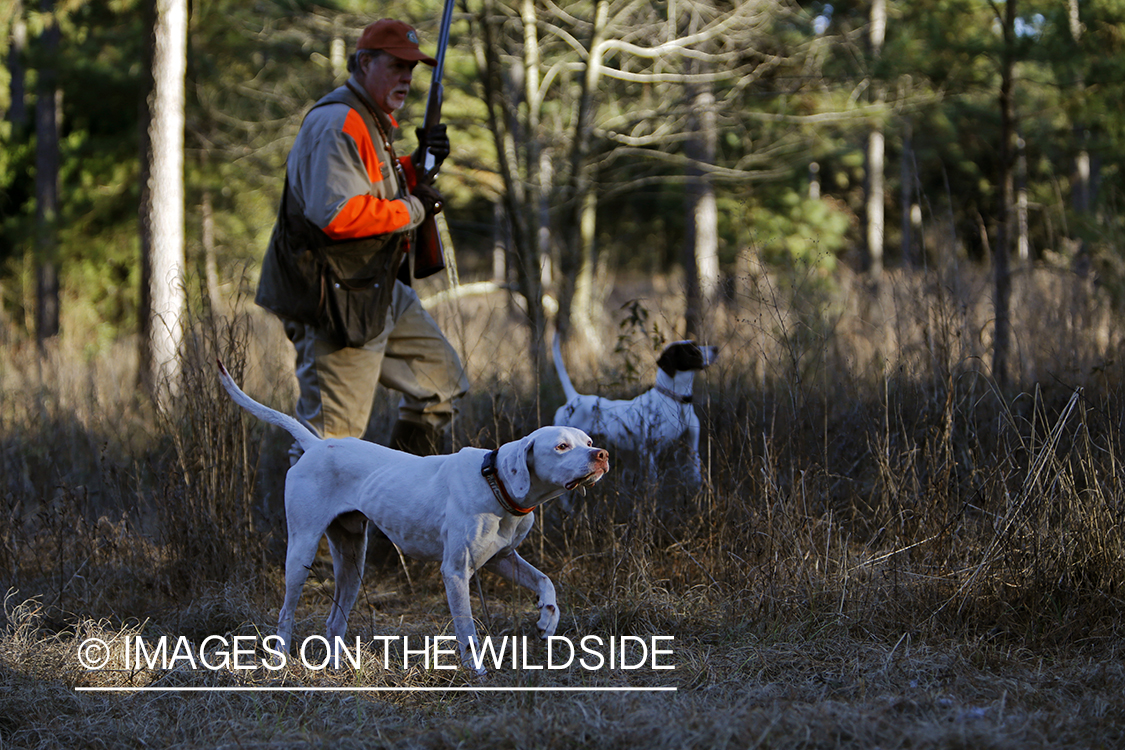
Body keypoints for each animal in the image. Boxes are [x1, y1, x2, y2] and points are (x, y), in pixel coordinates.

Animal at [216, 359, 612, 670]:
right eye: (561, 446)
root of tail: (315, 445)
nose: (602, 455)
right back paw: (279, 661)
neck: (495, 482)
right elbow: (467, 630)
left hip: (352, 562)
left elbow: (546, 581)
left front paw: (548, 618)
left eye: (588, 442)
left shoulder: (502, 558)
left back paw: (338, 669)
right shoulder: (456, 572)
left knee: (334, 622)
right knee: (286, 616)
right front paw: (477, 674)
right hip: (301, 554)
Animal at [551, 335, 715, 488]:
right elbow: (652, 481)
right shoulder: (648, 451)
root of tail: (574, 397)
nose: (716, 348)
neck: (675, 401)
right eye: (693, 350)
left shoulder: (692, 446)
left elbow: (695, 473)